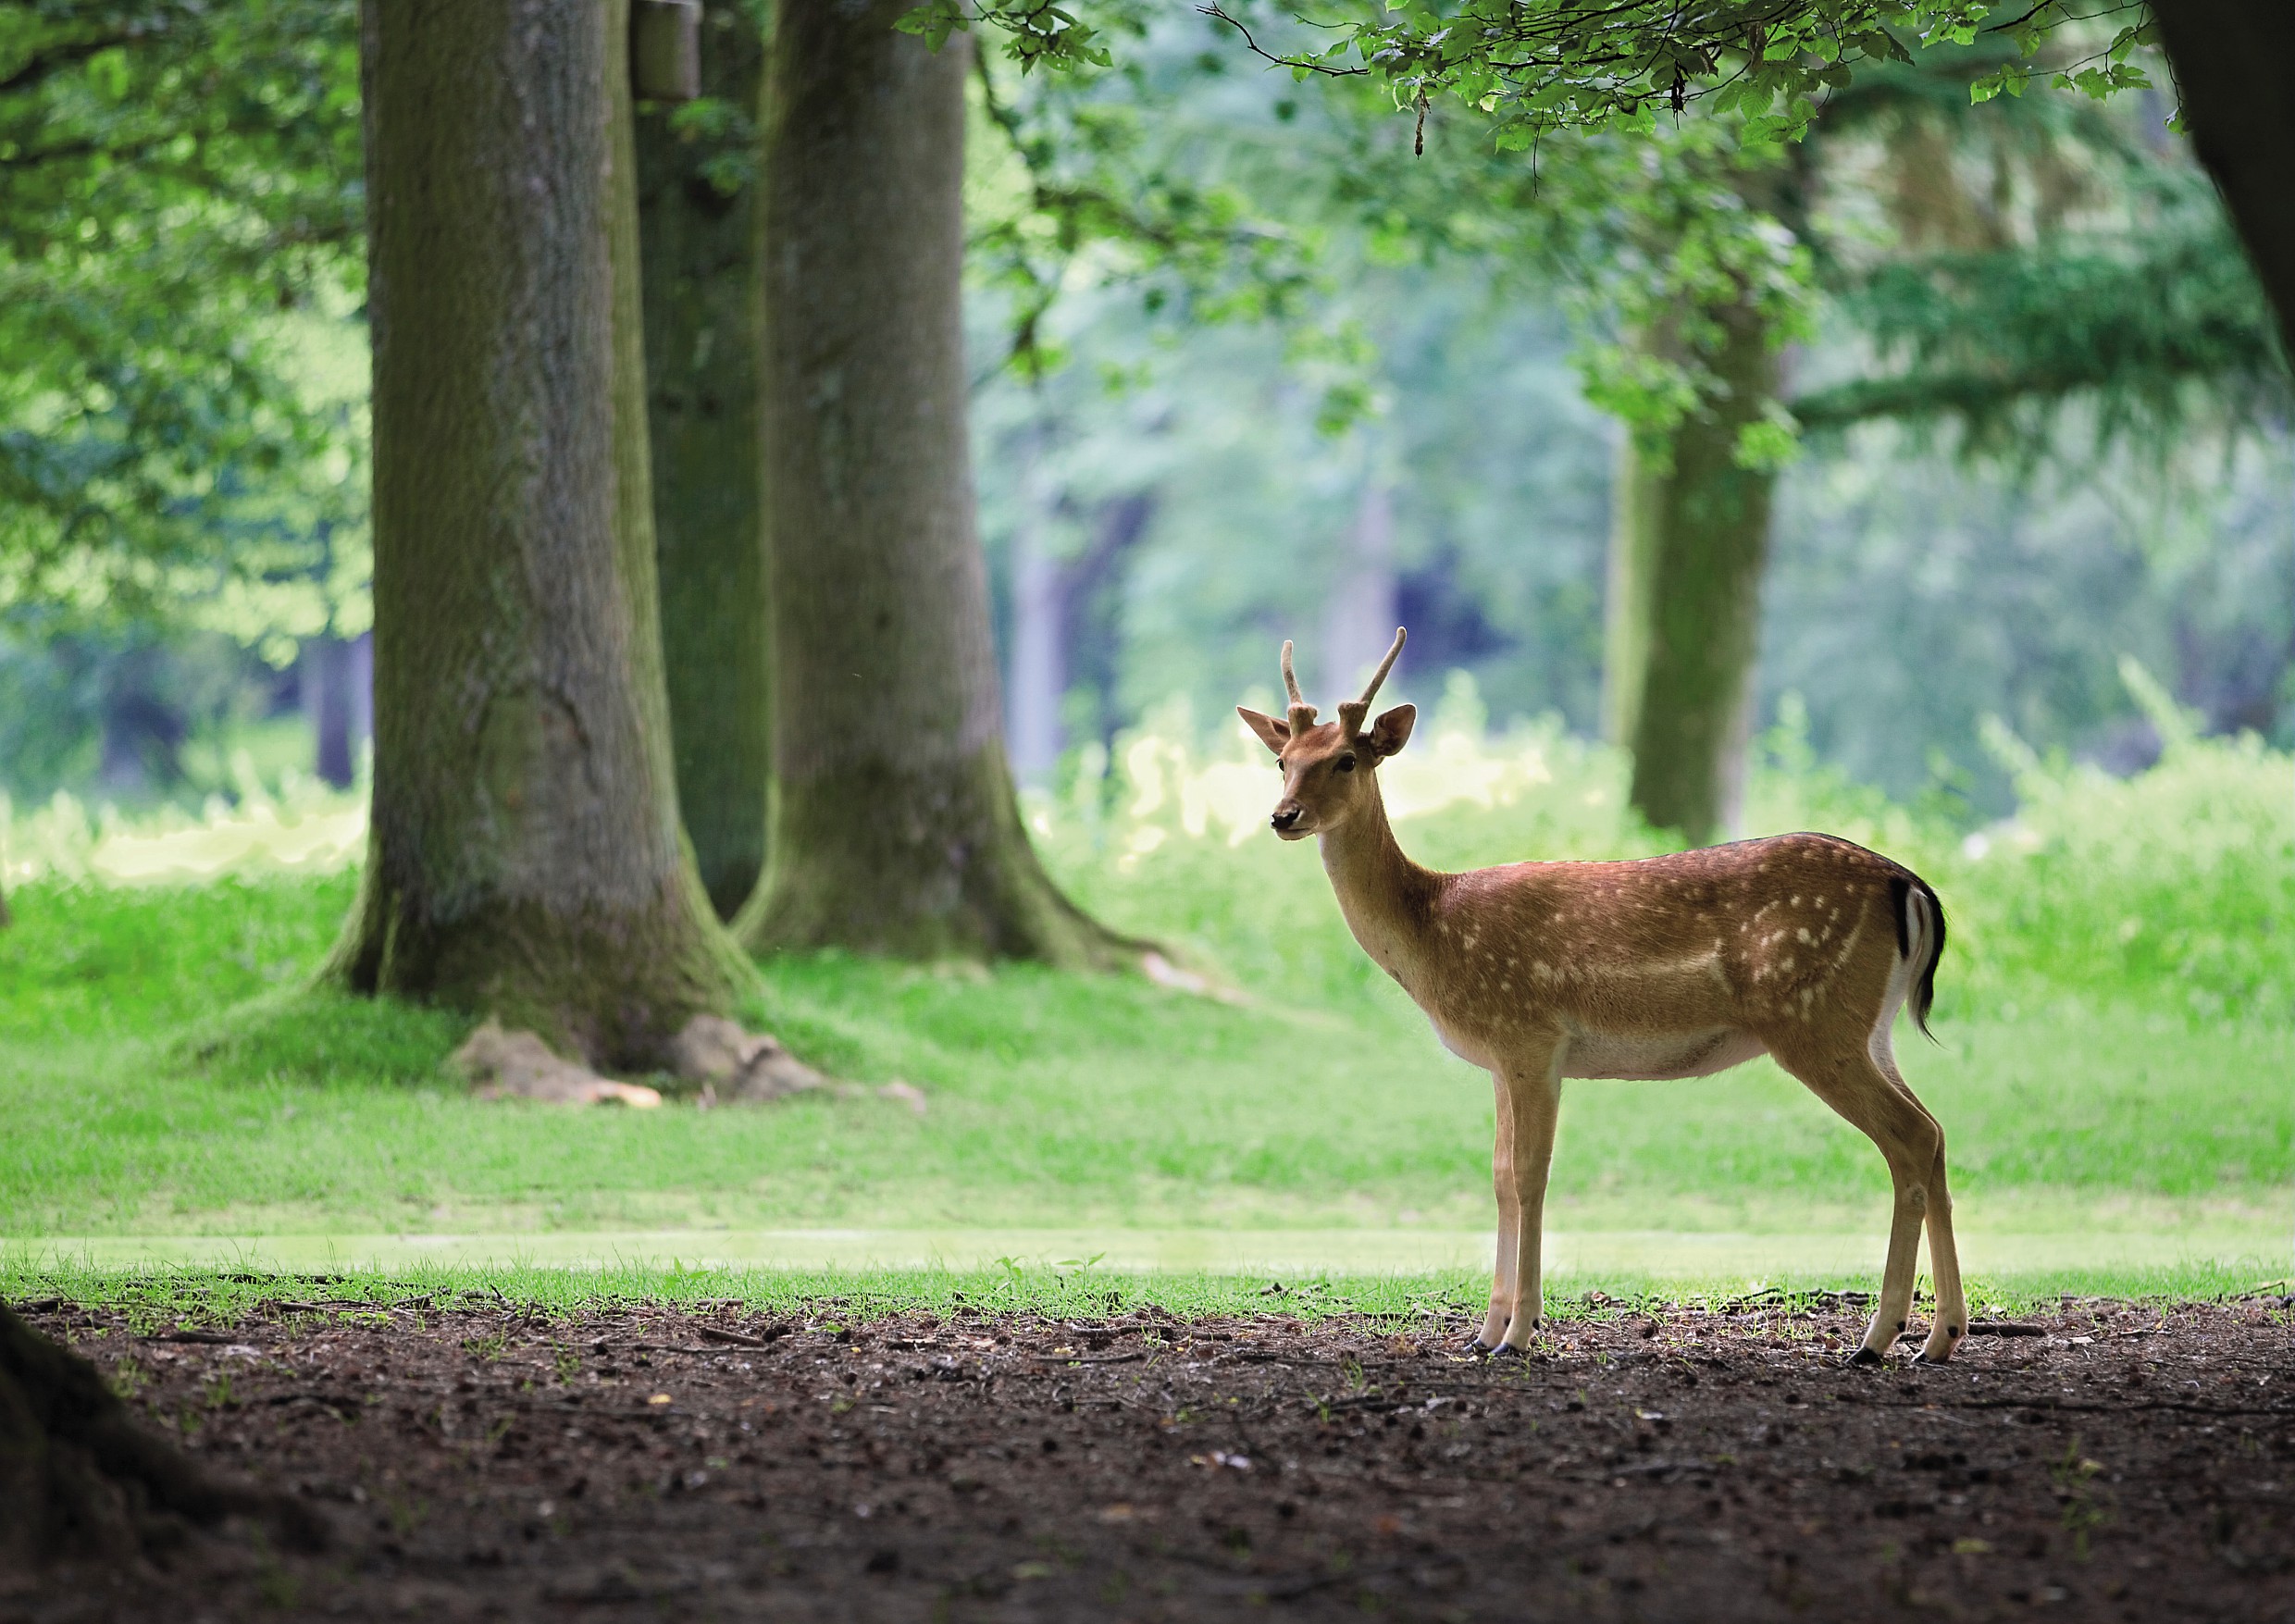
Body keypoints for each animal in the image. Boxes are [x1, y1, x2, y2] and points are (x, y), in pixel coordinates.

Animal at [1248, 628, 1964, 1367]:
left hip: (1814, 1019)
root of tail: (1910, 887)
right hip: (1869, 1028)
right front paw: (1485, 1330)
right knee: (1935, 1133)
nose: (1283, 815)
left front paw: (1520, 1333)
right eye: (1281, 760)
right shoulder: (1502, 1058)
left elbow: (1529, 1175)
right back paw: (1940, 1336)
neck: (1434, 930)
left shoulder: (1531, 1035)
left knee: (1910, 1136)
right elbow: (1499, 1175)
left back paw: (1879, 1338)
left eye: (1346, 759)